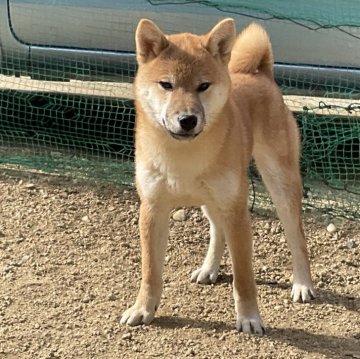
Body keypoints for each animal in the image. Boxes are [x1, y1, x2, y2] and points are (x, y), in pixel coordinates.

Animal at [121, 19, 316, 334]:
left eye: (203, 86)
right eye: (166, 85)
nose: (187, 120)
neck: (183, 155)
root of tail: (258, 73)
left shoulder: (237, 212)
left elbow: (244, 277)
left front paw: (249, 318)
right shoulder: (153, 209)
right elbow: (150, 271)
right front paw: (143, 309)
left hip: (279, 184)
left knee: (296, 237)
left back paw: (302, 284)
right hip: (211, 200)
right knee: (217, 230)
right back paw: (209, 268)